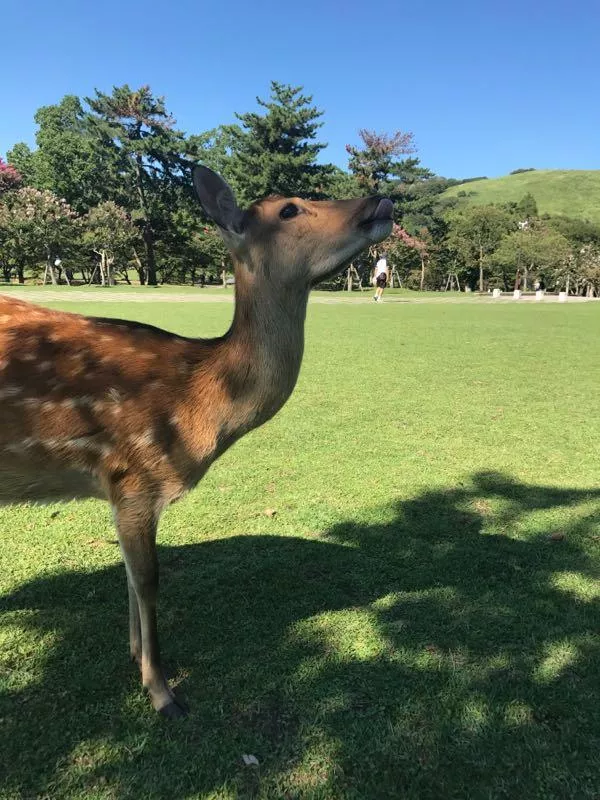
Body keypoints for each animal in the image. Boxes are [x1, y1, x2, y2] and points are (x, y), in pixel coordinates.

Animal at [1, 166, 394, 716]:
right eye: (288, 209)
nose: (382, 199)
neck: (197, 403)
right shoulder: (133, 474)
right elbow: (148, 579)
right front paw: (162, 691)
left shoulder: (121, 490)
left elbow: (128, 574)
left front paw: (135, 656)